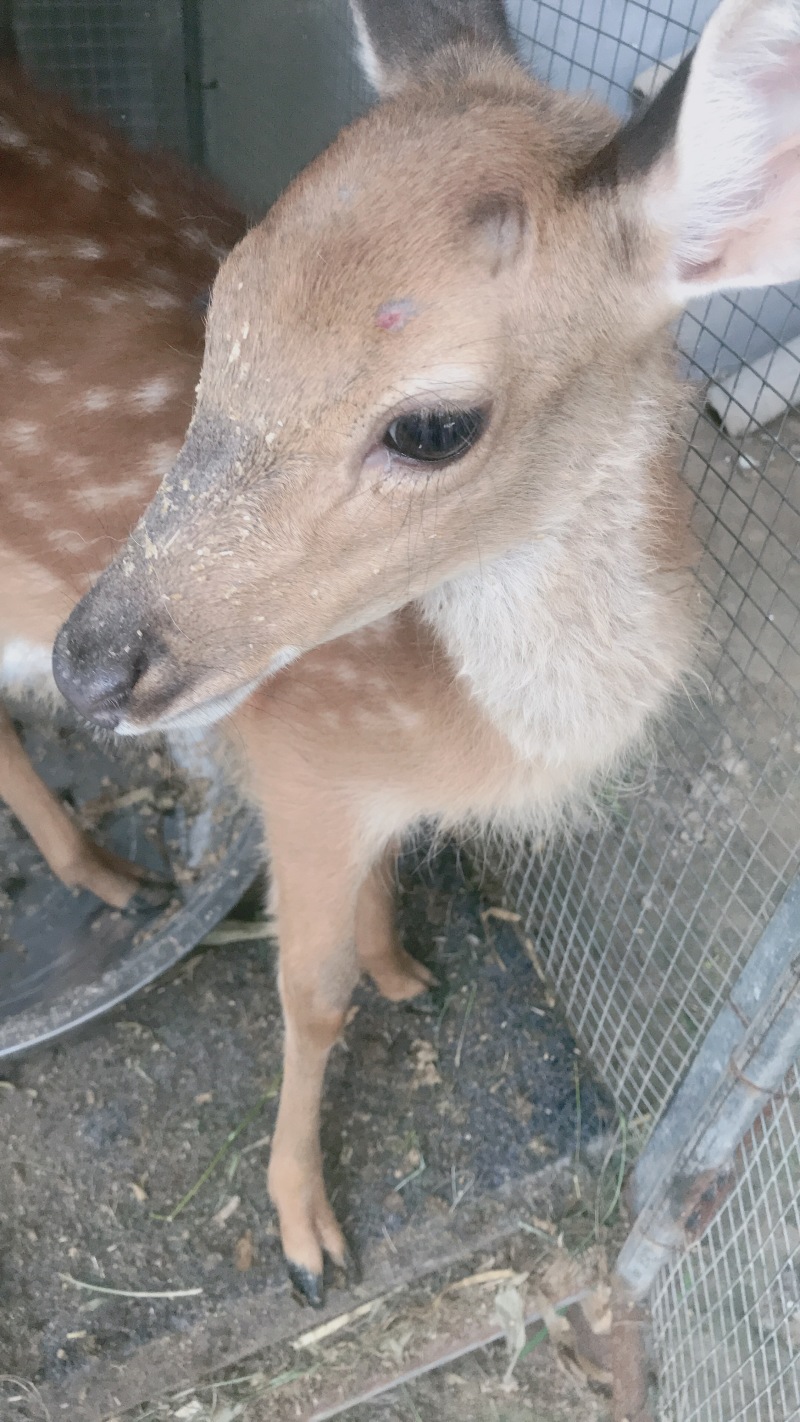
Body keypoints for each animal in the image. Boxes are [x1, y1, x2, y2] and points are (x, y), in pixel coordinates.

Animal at [51, 0, 800, 1308]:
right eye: (223, 309)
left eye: (433, 427)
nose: (86, 664)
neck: (458, 730)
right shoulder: (296, 764)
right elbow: (308, 997)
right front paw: (306, 1235)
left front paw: (403, 967)